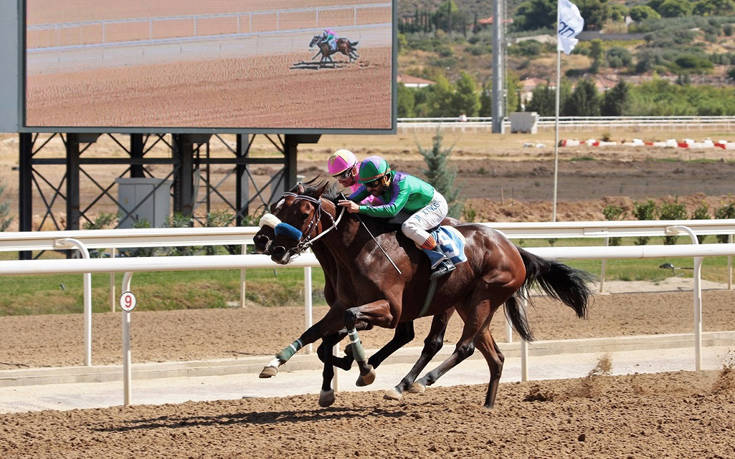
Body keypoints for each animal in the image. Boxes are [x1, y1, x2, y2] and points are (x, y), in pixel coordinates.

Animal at [253, 184, 592, 410]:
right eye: (277, 206)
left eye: (303, 212)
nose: (265, 242)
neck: (359, 250)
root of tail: (512, 248)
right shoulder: (342, 305)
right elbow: (317, 334)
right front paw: (277, 364)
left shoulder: (390, 310)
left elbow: (346, 329)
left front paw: (364, 369)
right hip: (468, 304)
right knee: (492, 356)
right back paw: (487, 405)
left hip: (481, 299)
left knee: (456, 346)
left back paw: (412, 383)